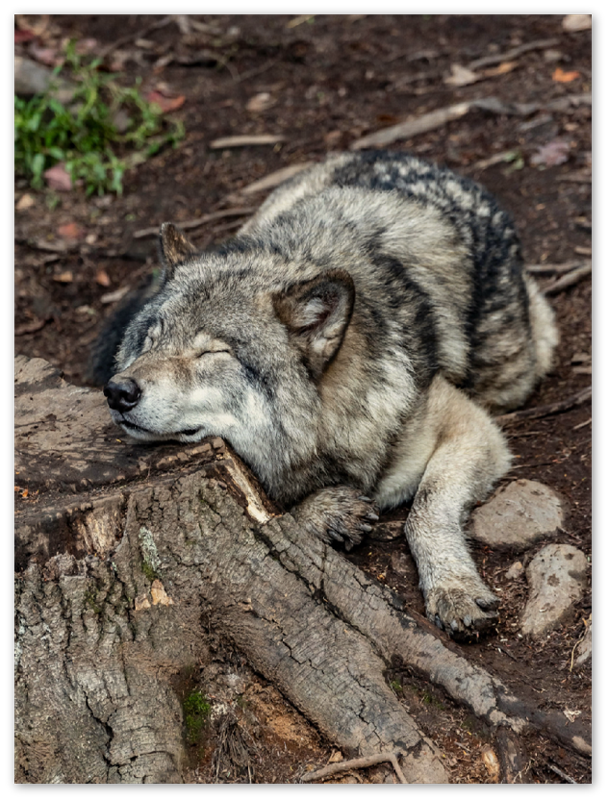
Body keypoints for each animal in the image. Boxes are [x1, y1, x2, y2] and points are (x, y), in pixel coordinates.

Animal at [98, 150, 558, 636]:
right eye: (151, 340)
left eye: (212, 352)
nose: (118, 391)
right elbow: (272, 513)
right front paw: (324, 511)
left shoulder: (471, 427)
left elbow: (425, 509)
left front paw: (453, 588)